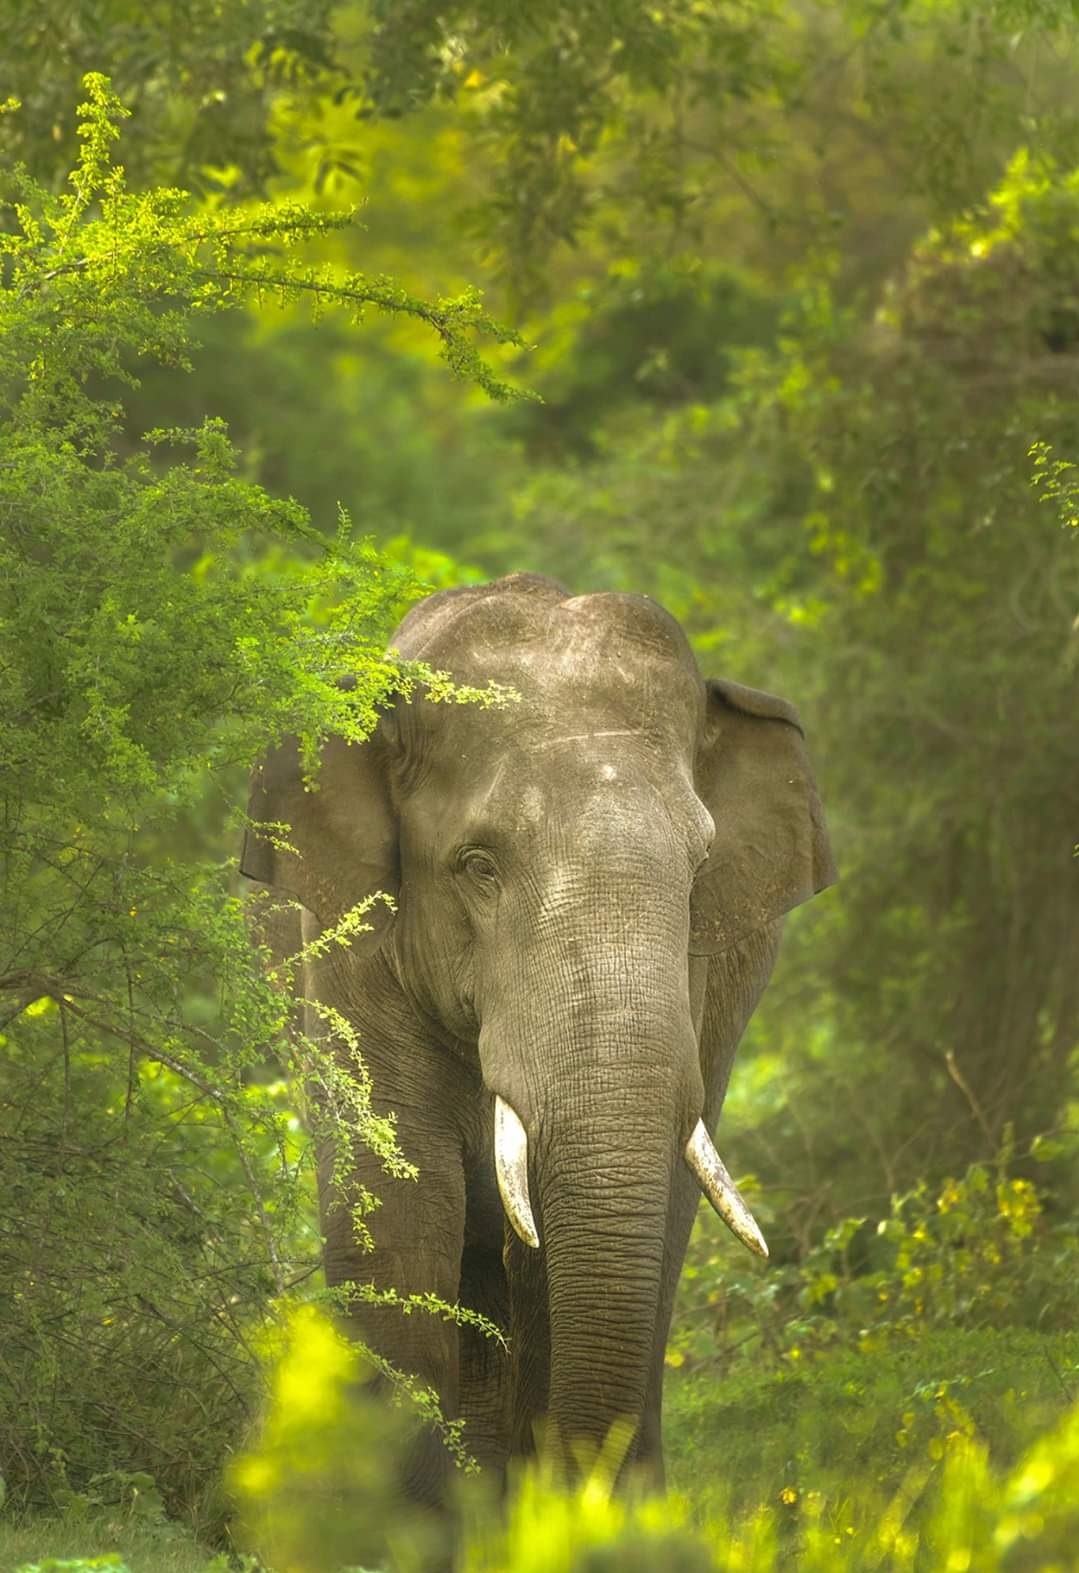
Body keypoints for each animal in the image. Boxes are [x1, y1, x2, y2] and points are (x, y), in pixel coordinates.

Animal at [240, 572, 835, 1513]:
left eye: (700, 869)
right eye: (477, 865)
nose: (585, 1494)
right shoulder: (349, 940)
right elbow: (402, 1195)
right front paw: (402, 1524)